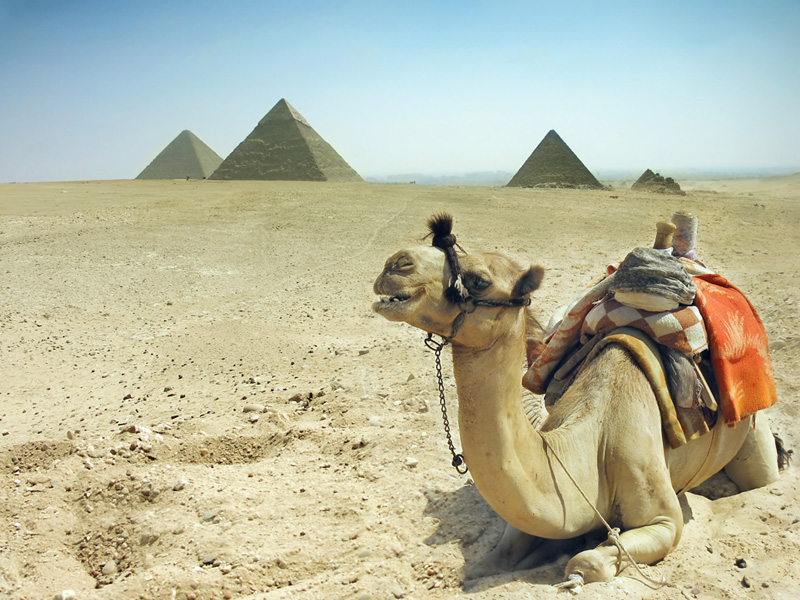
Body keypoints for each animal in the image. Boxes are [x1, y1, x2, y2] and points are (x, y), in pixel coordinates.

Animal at [372, 213, 783, 588]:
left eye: (479, 279)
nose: (395, 264)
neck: (589, 445)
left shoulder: (664, 518)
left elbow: (588, 560)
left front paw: (576, 570)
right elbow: (488, 562)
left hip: (753, 426)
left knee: (761, 475)